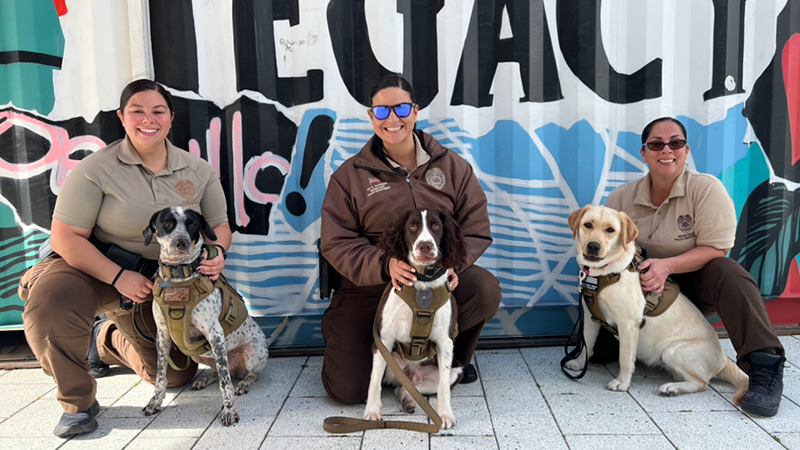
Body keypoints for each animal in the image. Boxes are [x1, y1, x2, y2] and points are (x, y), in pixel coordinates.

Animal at [141, 207, 268, 426]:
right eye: (167, 224)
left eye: (192, 224)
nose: (181, 242)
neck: (179, 277)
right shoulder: (162, 335)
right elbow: (160, 375)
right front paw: (155, 402)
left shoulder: (215, 334)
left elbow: (225, 383)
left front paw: (229, 411)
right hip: (198, 354)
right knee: (218, 371)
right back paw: (204, 379)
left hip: (252, 352)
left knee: (244, 374)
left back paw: (243, 383)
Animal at [364, 207, 468, 428]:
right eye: (412, 226)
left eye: (436, 225)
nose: (425, 246)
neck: (423, 282)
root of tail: (410, 373)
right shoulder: (383, 339)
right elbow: (374, 382)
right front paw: (372, 412)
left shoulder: (446, 340)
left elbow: (444, 387)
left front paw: (445, 415)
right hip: (392, 364)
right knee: (395, 385)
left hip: (454, 372)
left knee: (405, 388)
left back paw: (409, 402)